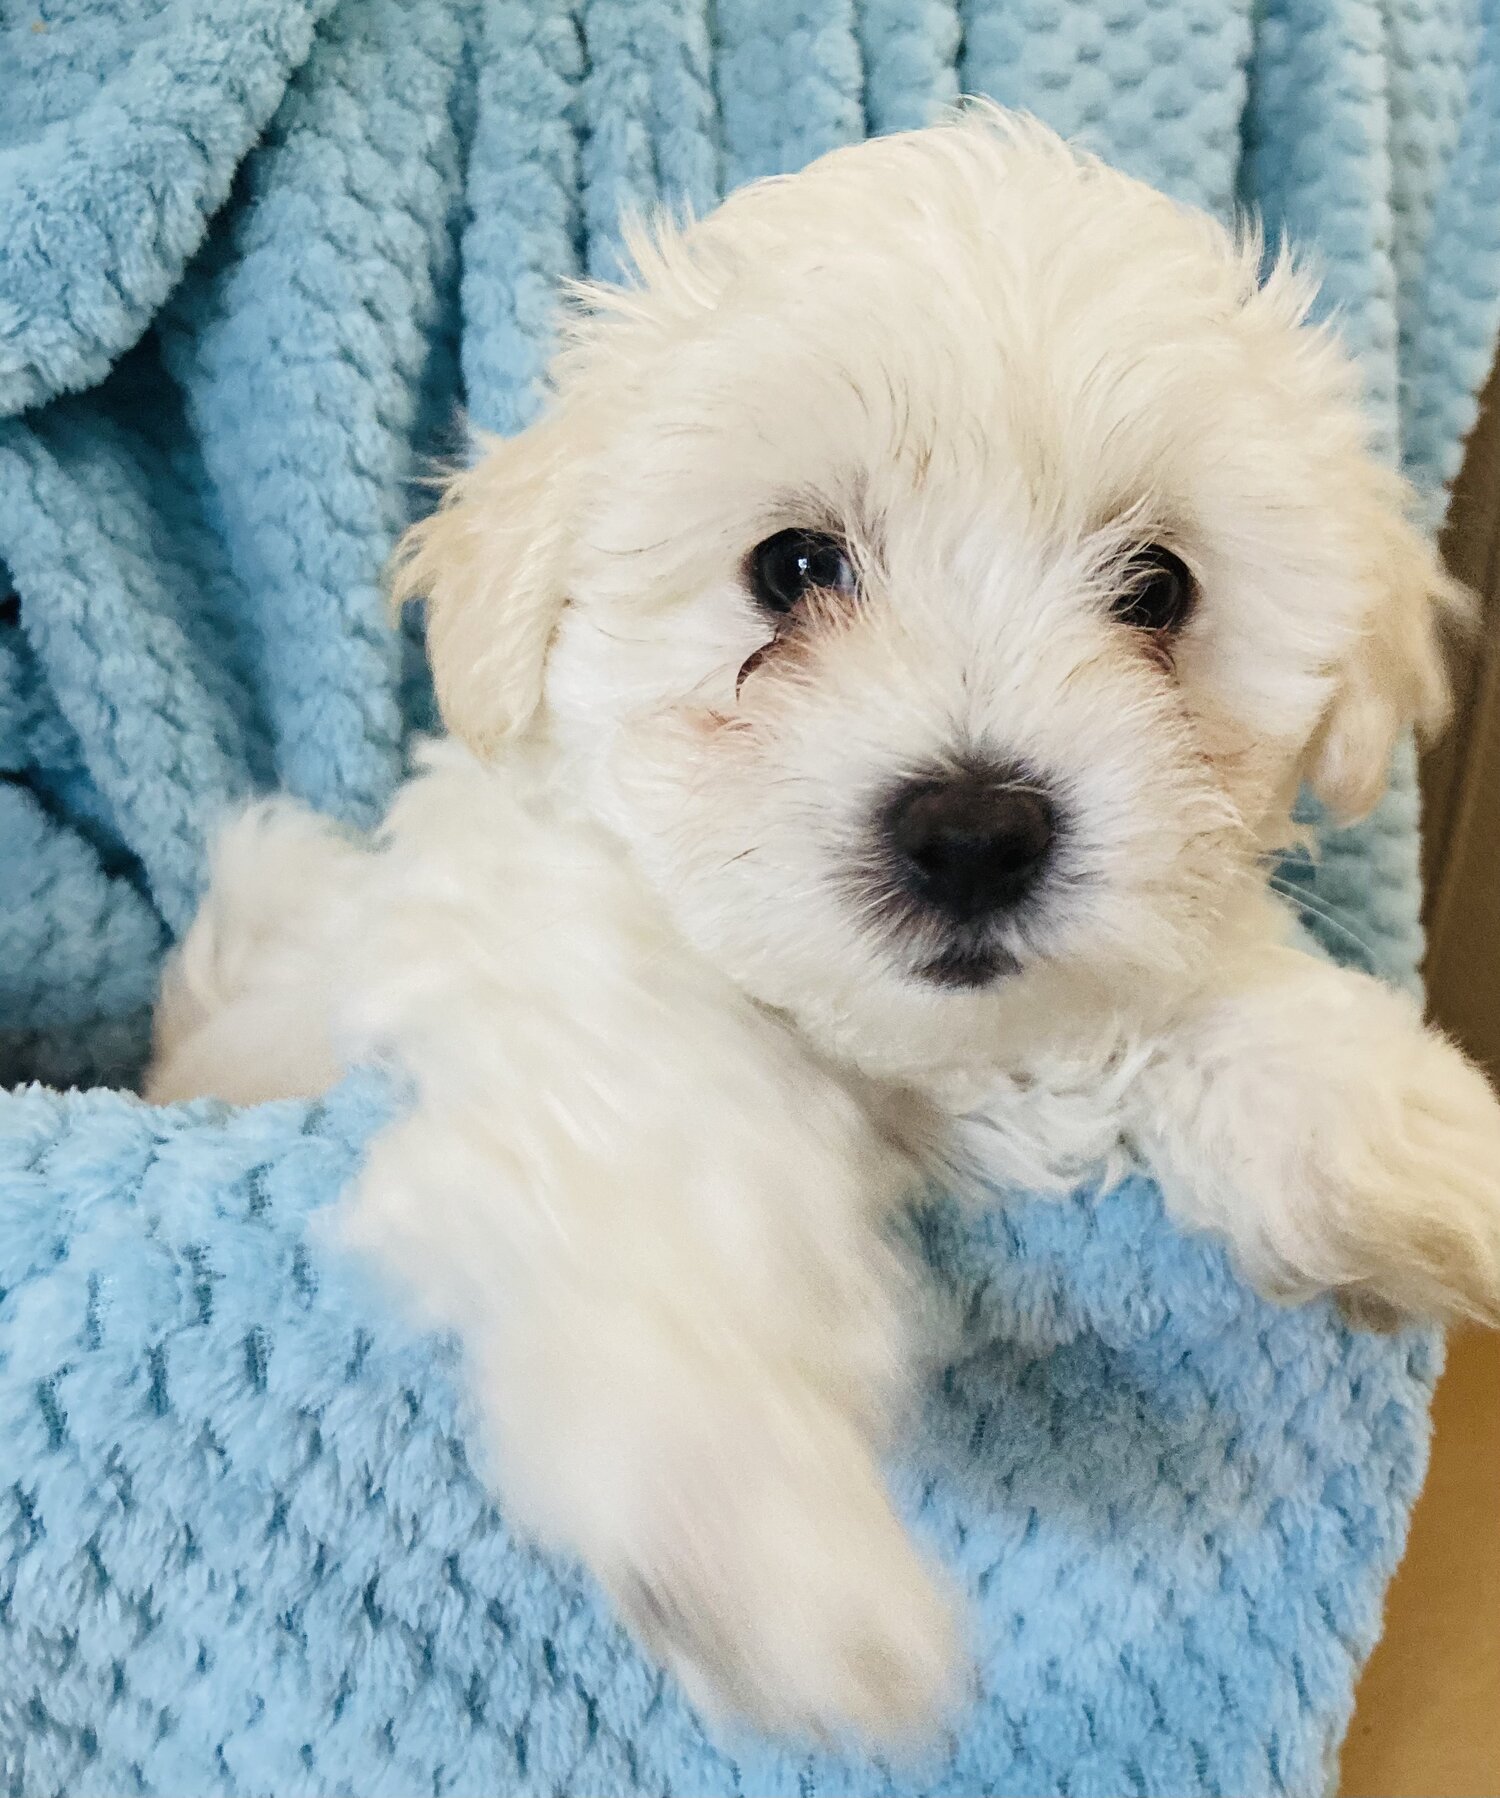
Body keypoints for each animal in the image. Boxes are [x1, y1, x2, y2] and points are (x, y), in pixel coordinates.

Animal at [145, 108, 1496, 1740]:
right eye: (789, 567)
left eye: (1158, 589)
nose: (976, 832)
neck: (911, 1057)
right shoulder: (572, 997)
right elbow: (682, 1183)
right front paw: (757, 1527)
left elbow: (1207, 987)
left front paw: (1410, 1142)